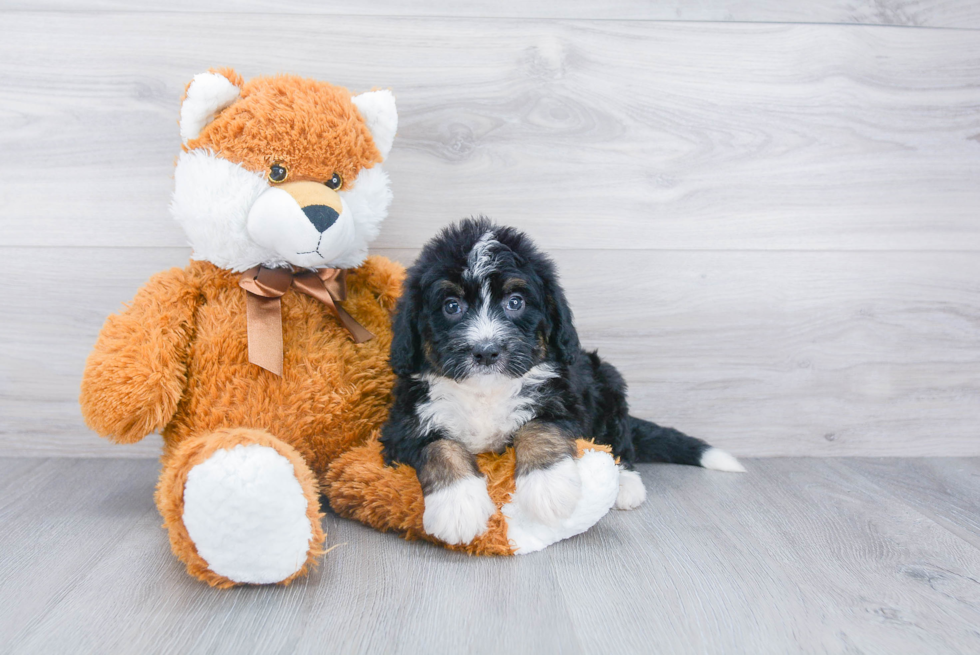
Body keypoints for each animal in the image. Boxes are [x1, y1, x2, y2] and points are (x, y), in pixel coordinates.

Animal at [380, 218, 744, 544]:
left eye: (515, 302)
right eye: (451, 306)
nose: (486, 351)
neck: (486, 392)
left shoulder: (564, 398)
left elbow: (541, 427)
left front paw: (548, 485)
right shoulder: (404, 423)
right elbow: (440, 447)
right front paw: (458, 506)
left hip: (607, 381)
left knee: (621, 441)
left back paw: (625, 483)